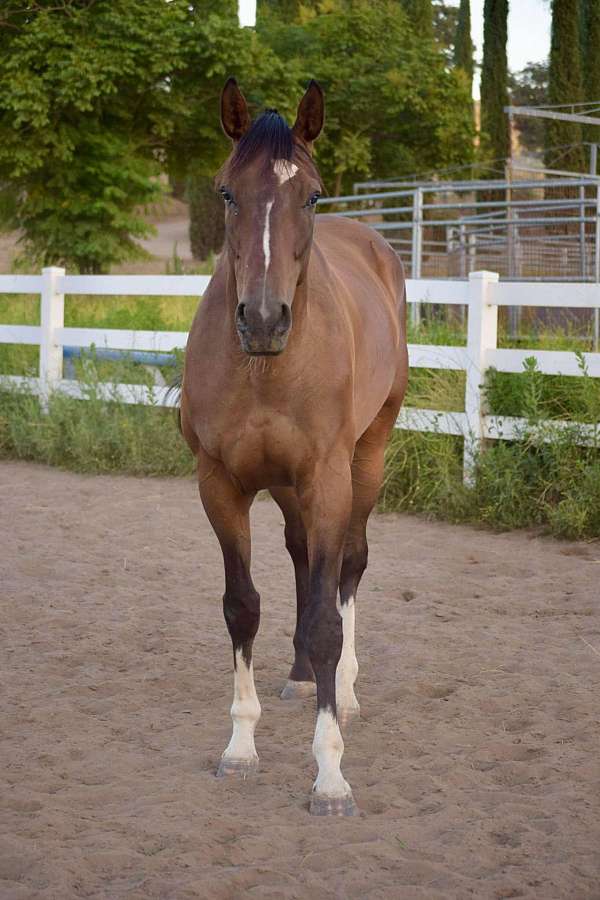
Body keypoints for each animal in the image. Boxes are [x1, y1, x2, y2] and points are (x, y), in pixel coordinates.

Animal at [182, 77, 408, 816]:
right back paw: (304, 675)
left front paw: (330, 774)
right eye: (227, 192)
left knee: (345, 569)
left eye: (310, 194)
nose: (262, 318)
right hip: (285, 485)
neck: (264, 370)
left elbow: (330, 616)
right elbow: (243, 606)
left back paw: (347, 688)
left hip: (366, 459)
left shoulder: (329, 479)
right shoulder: (220, 484)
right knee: (306, 561)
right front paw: (239, 748)